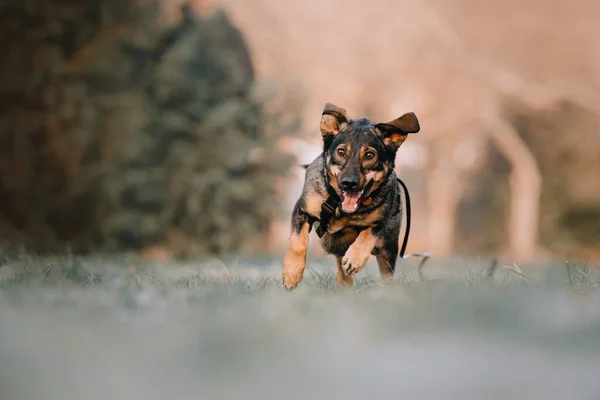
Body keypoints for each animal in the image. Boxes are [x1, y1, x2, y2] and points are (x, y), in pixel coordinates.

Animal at [282, 102, 420, 290]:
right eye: (341, 152)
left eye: (369, 155)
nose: (349, 183)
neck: (340, 207)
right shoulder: (302, 209)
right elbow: (298, 242)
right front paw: (292, 273)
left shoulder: (380, 222)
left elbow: (368, 234)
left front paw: (354, 259)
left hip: (389, 248)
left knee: (385, 272)